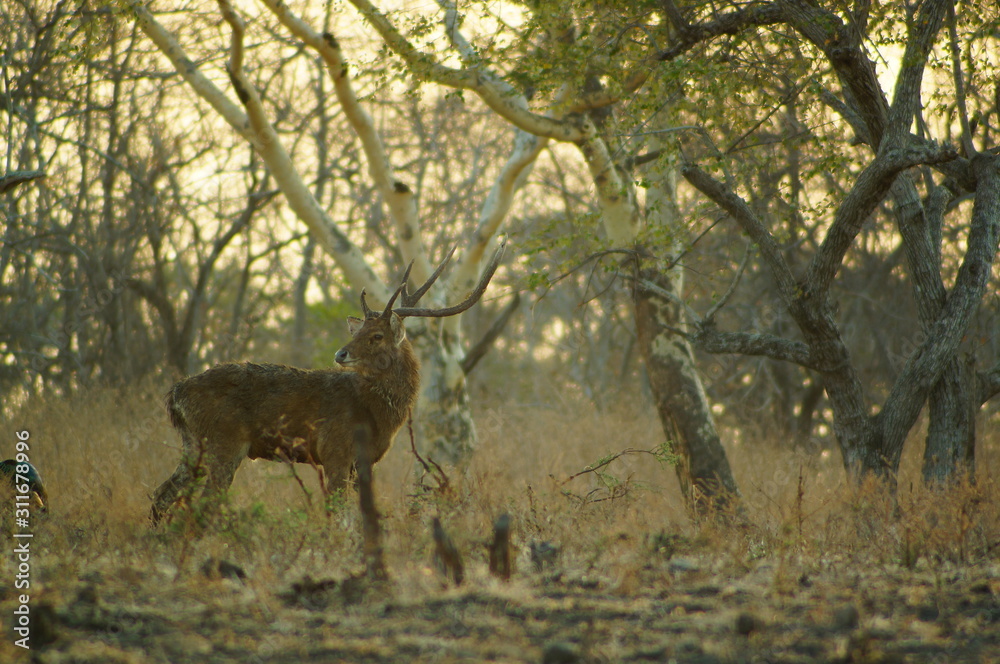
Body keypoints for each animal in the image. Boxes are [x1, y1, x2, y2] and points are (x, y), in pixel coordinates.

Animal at [149, 241, 505, 524]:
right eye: (359, 331)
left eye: (376, 335)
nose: (340, 353)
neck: (377, 415)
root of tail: (176, 394)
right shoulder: (335, 450)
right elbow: (337, 516)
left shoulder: (361, 462)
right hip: (225, 442)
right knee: (203, 504)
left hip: (193, 446)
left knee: (161, 496)